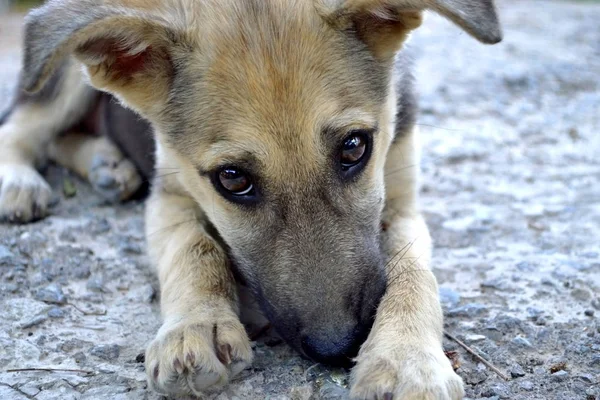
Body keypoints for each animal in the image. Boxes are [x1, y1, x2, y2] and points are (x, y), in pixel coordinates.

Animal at [0, 1, 502, 398]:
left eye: (354, 147)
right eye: (232, 179)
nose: (337, 347)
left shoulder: (401, 200)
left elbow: (411, 270)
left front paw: (406, 359)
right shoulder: (171, 195)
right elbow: (194, 248)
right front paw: (195, 326)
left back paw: (108, 165)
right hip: (60, 75)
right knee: (24, 126)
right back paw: (20, 181)